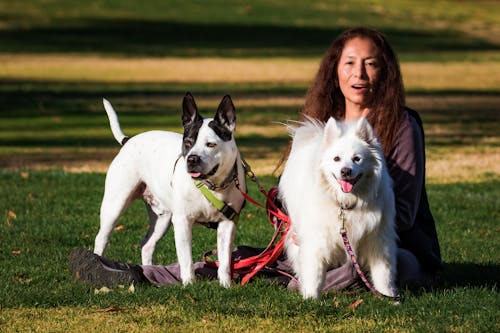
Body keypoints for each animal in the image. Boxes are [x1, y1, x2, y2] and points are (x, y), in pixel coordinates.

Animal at [93, 92, 246, 286]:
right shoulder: (182, 222)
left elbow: (225, 261)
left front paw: (226, 285)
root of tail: (129, 140)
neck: (211, 185)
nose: (192, 159)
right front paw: (189, 285)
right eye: (187, 142)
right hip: (115, 206)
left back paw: (149, 272)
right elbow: (186, 259)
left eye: (211, 144)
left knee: (147, 244)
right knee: (101, 238)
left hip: (162, 218)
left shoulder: (227, 224)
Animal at [278, 117, 398, 298]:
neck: (346, 203)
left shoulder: (378, 239)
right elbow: (314, 272)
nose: (345, 171)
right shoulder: (316, 239)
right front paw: (310, 298)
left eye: (357, 159)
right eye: (336, 159)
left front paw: (388, 296)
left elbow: (383, 272)